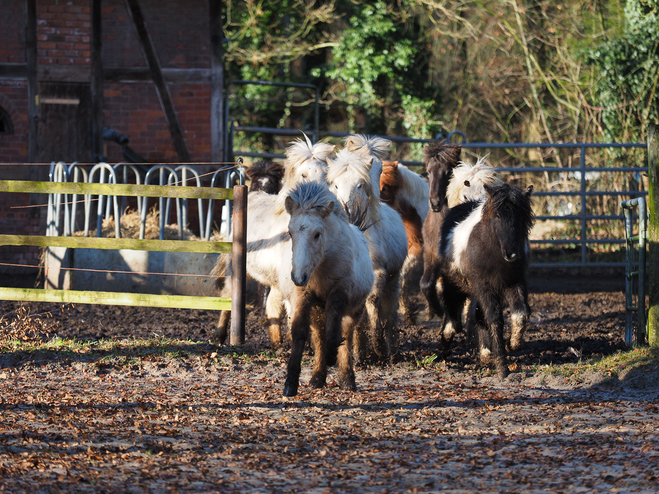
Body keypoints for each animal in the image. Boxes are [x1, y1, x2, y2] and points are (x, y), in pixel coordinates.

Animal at [213, 136, 336, 348]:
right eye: (303, 174)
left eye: (326, 174)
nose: (319, 201)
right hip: (235, 269)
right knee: (228, 297)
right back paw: (221, 337)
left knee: (273, 304)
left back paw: (278, 341)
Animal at [328, 135, 410, 358]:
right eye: (335, 185)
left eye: (359, 185)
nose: (346, 209)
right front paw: (357, 349)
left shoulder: (379, 272)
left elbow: (373, 302)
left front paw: (378, 345)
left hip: (394, 279)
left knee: (389, 310)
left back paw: (387, 346)